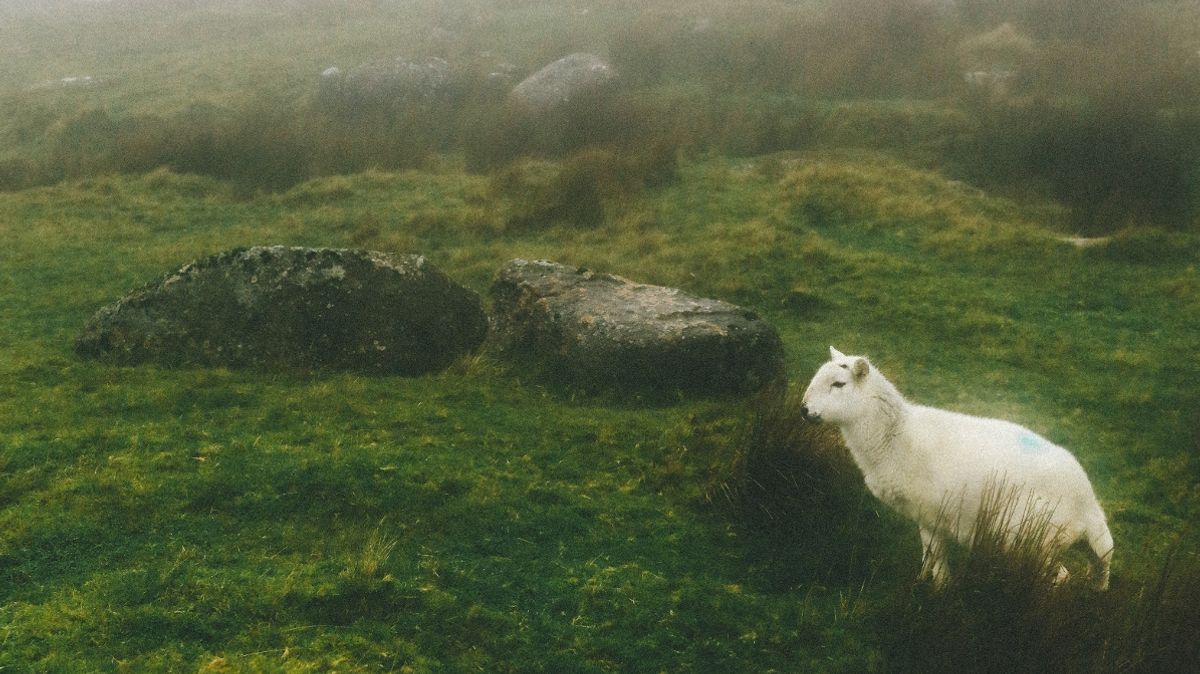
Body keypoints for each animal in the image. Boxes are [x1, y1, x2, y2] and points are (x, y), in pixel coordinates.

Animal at [800, 347, 1113, 589]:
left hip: (1034, 540)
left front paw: (938, 592)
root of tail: (1088, 502)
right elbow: (928, 557)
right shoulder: (925, 517)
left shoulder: (932, 513)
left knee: (1061, 577)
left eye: (839, 384)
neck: (895, 437)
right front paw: (921, 581)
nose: (803, 410)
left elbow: (936, 559)